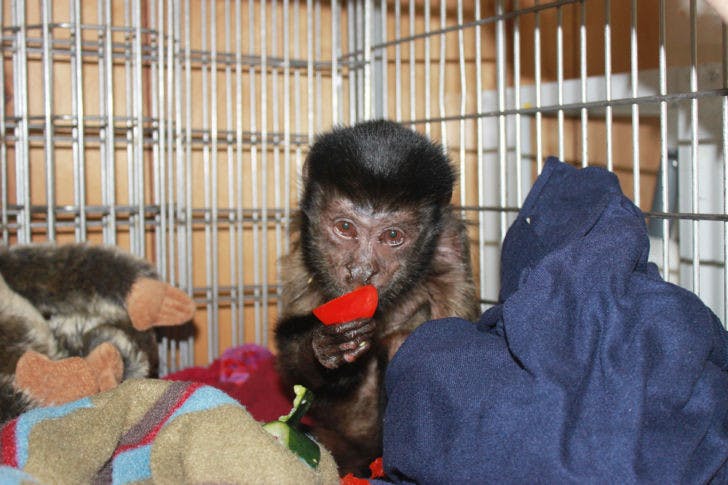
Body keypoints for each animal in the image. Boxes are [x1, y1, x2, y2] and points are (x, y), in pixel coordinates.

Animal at [274, 119, 480, 475]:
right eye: (345, 228)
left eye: (393, 235)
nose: (361, 271)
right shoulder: (303, 246)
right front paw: (324, 347)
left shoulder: (450, 243)